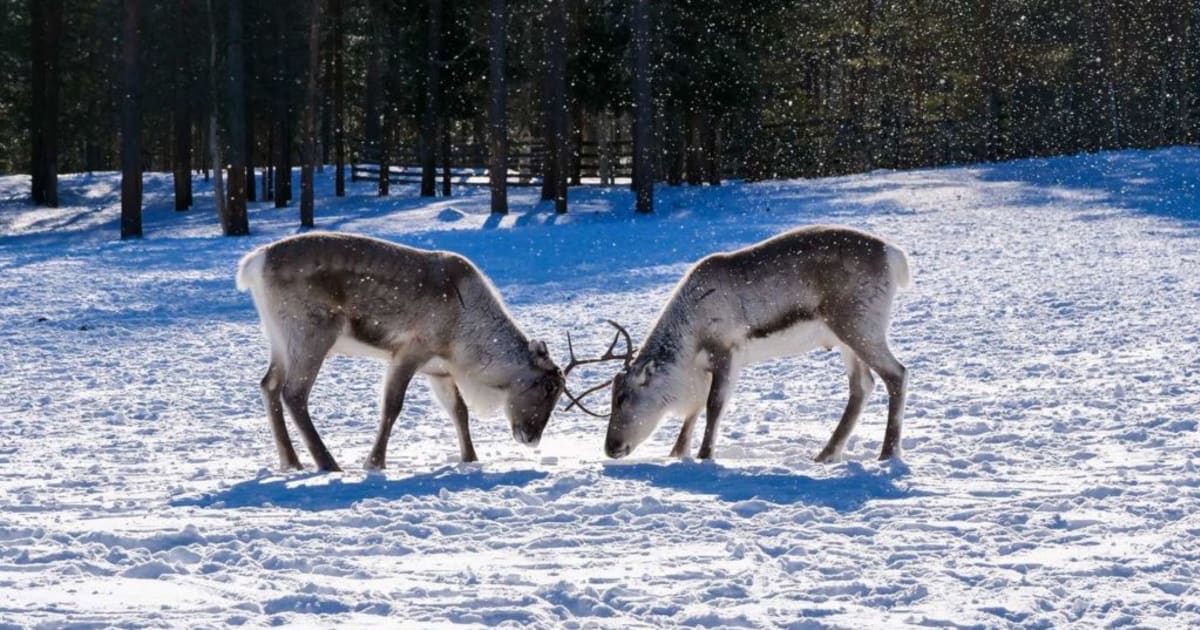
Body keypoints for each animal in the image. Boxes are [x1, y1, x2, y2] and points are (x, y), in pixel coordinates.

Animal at [235, 232, 564, 472]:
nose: (532, 437)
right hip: (311, 336)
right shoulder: (410, 351)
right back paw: (328, 464)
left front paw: (470, 458)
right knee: (294, 393)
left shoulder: (439, 371)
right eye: (547, 387)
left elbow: (459, 411)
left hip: (280, 340)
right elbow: (392, 406)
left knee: (269, 385)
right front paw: (374, 463)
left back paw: (291, 462)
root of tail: (253, 263)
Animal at [563, 225, 911, 463]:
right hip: (846, 338)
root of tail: (894, 255)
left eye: (623, 398)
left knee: (897, 374)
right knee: (862, 386)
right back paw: (826, 454)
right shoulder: (702, 370)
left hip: (861, 327)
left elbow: (714, 405)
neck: (689, 338)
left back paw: (888, 453)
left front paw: (704, 455)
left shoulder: (725, 351)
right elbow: (694, 409)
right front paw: (676, 453)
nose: (610, 447)